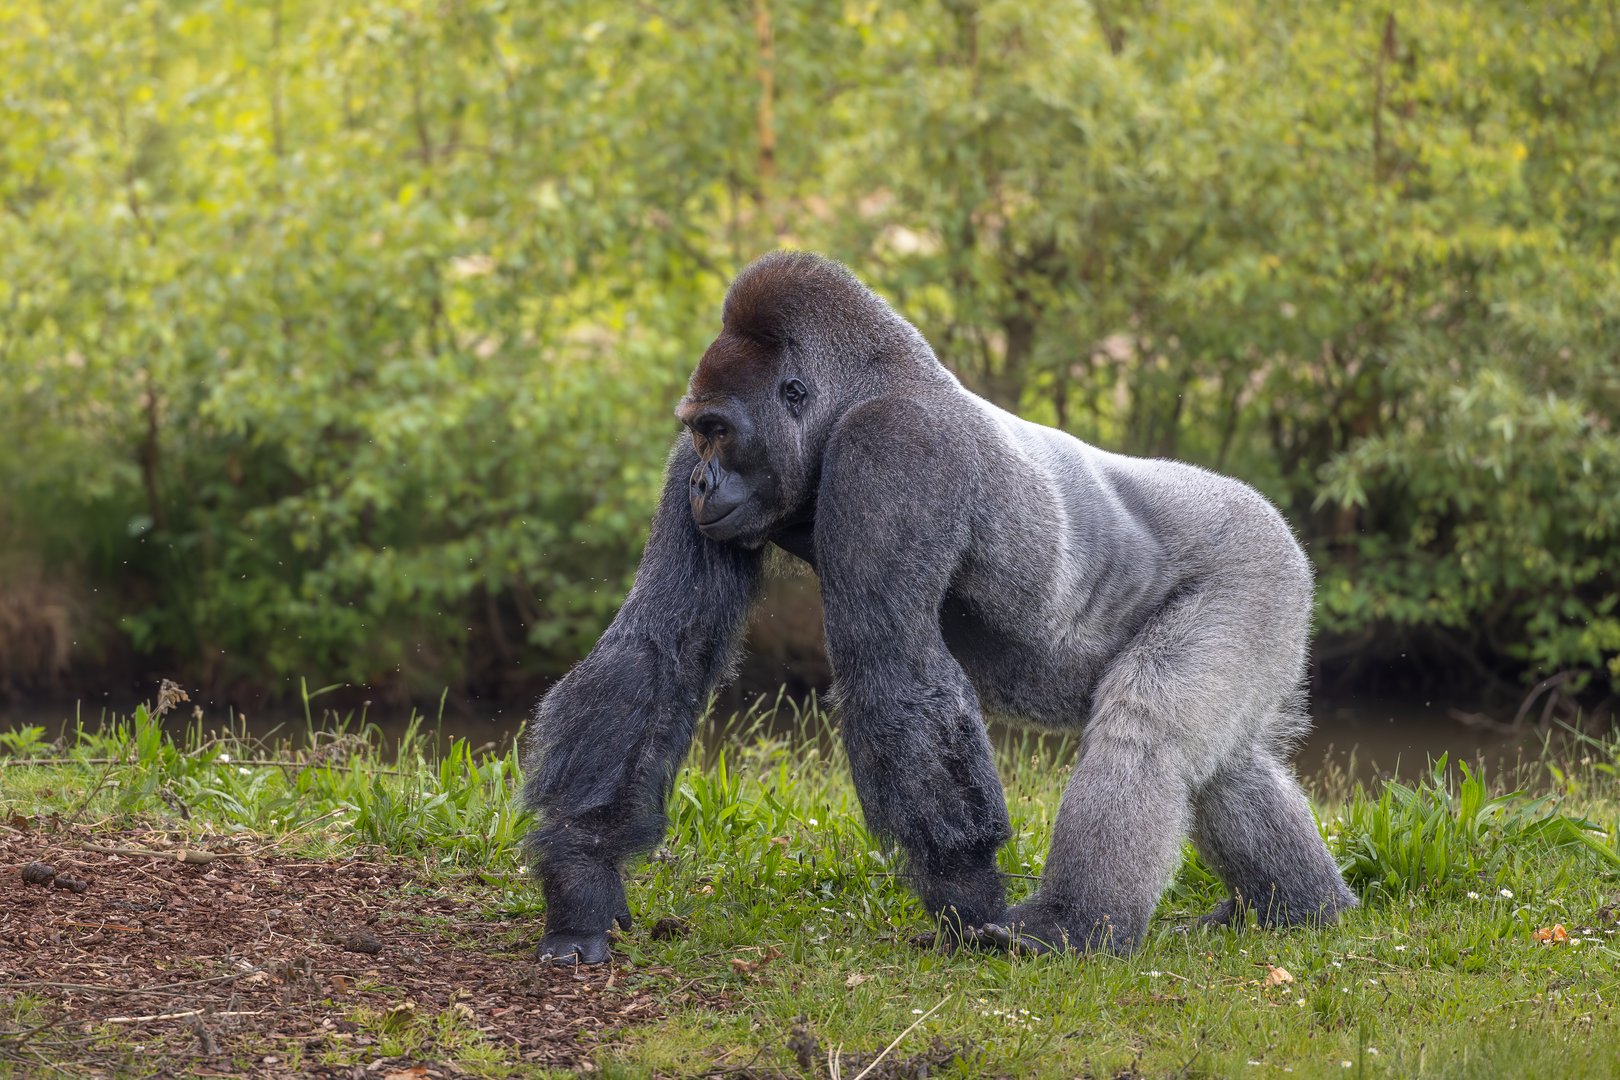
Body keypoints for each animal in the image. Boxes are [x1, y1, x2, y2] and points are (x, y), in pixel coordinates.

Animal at [521, 250, 1356, 963]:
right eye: (698, 434)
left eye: (720, 429)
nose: (702, 482)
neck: (859, 391)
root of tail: (1273, 519)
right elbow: (659, 646)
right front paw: (582, 876)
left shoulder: (895, 449)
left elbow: (894, 669)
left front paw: (965, 893)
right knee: (1226, 763)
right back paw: (1299, 906)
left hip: (1256, 569)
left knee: (1148, 730)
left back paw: (1073, 925)